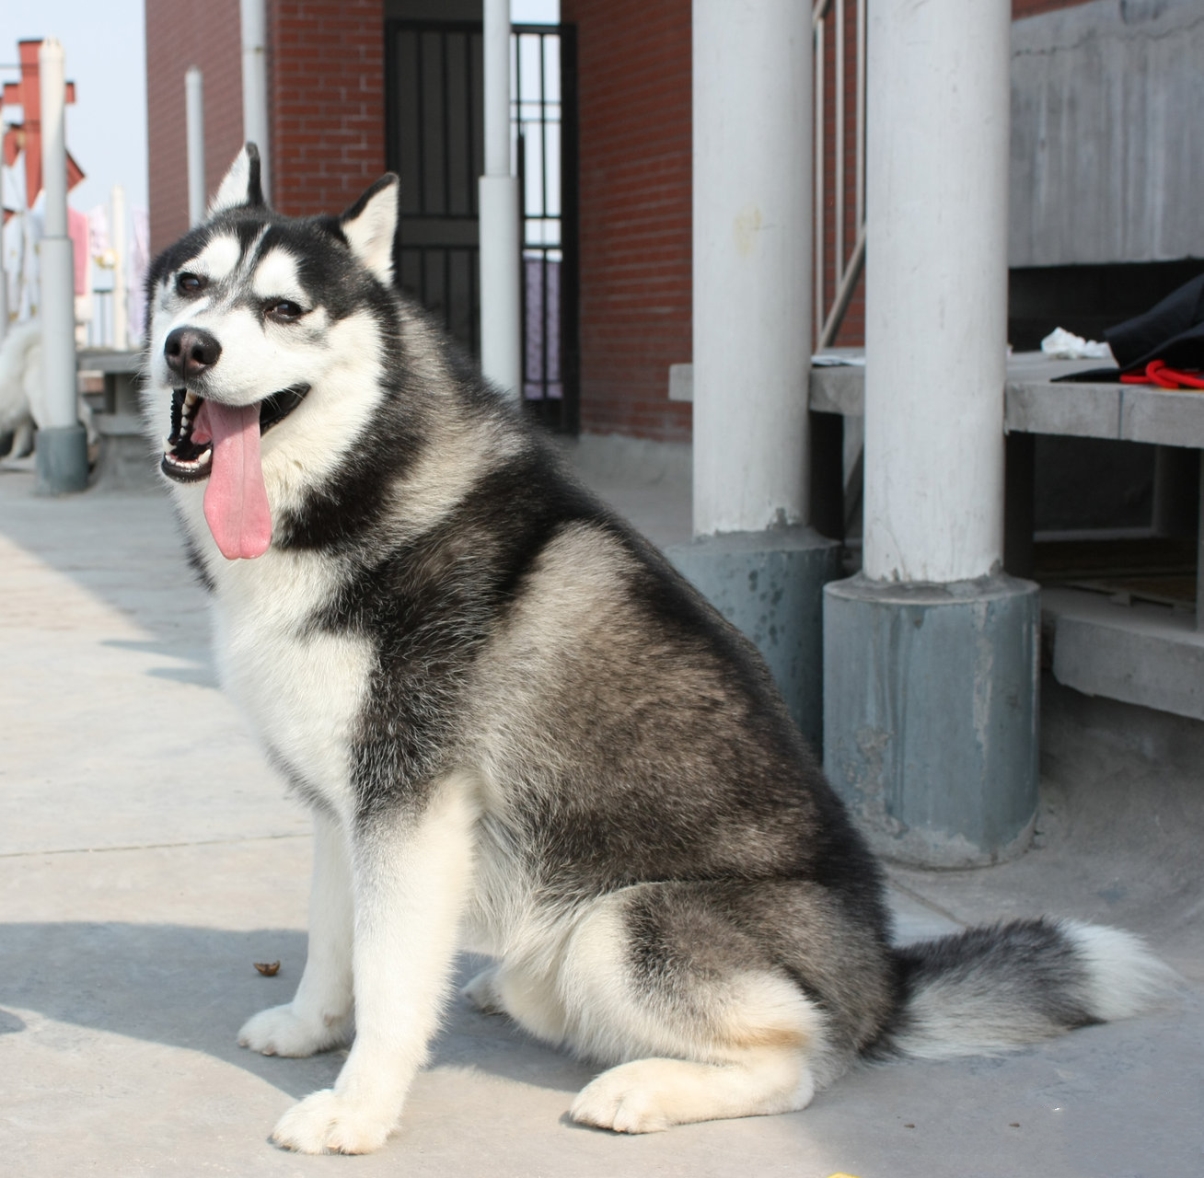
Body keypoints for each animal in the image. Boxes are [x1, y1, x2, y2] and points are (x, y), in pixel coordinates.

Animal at [138, 144, 1165, 1146]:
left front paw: (359, 1109)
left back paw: (643, 1090)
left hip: (619, 924)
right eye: (191, 284)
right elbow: (333, 938)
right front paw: (311, 1029)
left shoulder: (410, 805)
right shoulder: (339, 801)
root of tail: (882, 985)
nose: (191, 347)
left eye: (284, 309)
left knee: (801, 1061)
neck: (347, 491)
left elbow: (392, 980)